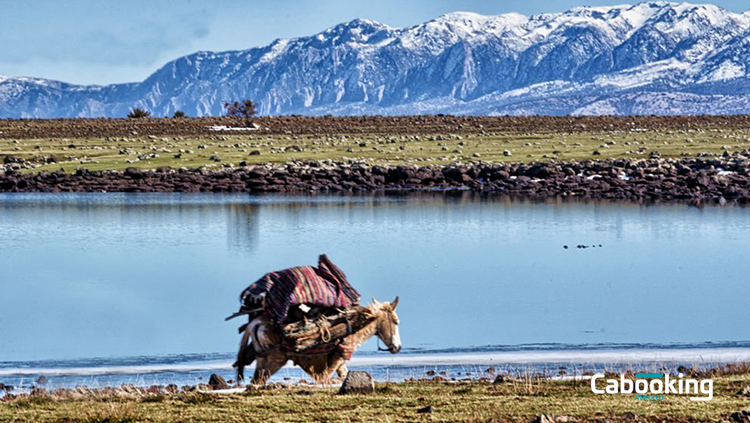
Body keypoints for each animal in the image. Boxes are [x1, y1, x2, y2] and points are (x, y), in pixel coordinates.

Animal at [228, 253, 406, 386]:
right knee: (255, 383)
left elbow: (343, 376)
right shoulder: (335, 359)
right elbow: (326, 379)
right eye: (396, 322)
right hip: (272, 361)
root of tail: (254, 323)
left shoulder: (338, 363)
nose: (397, 347)